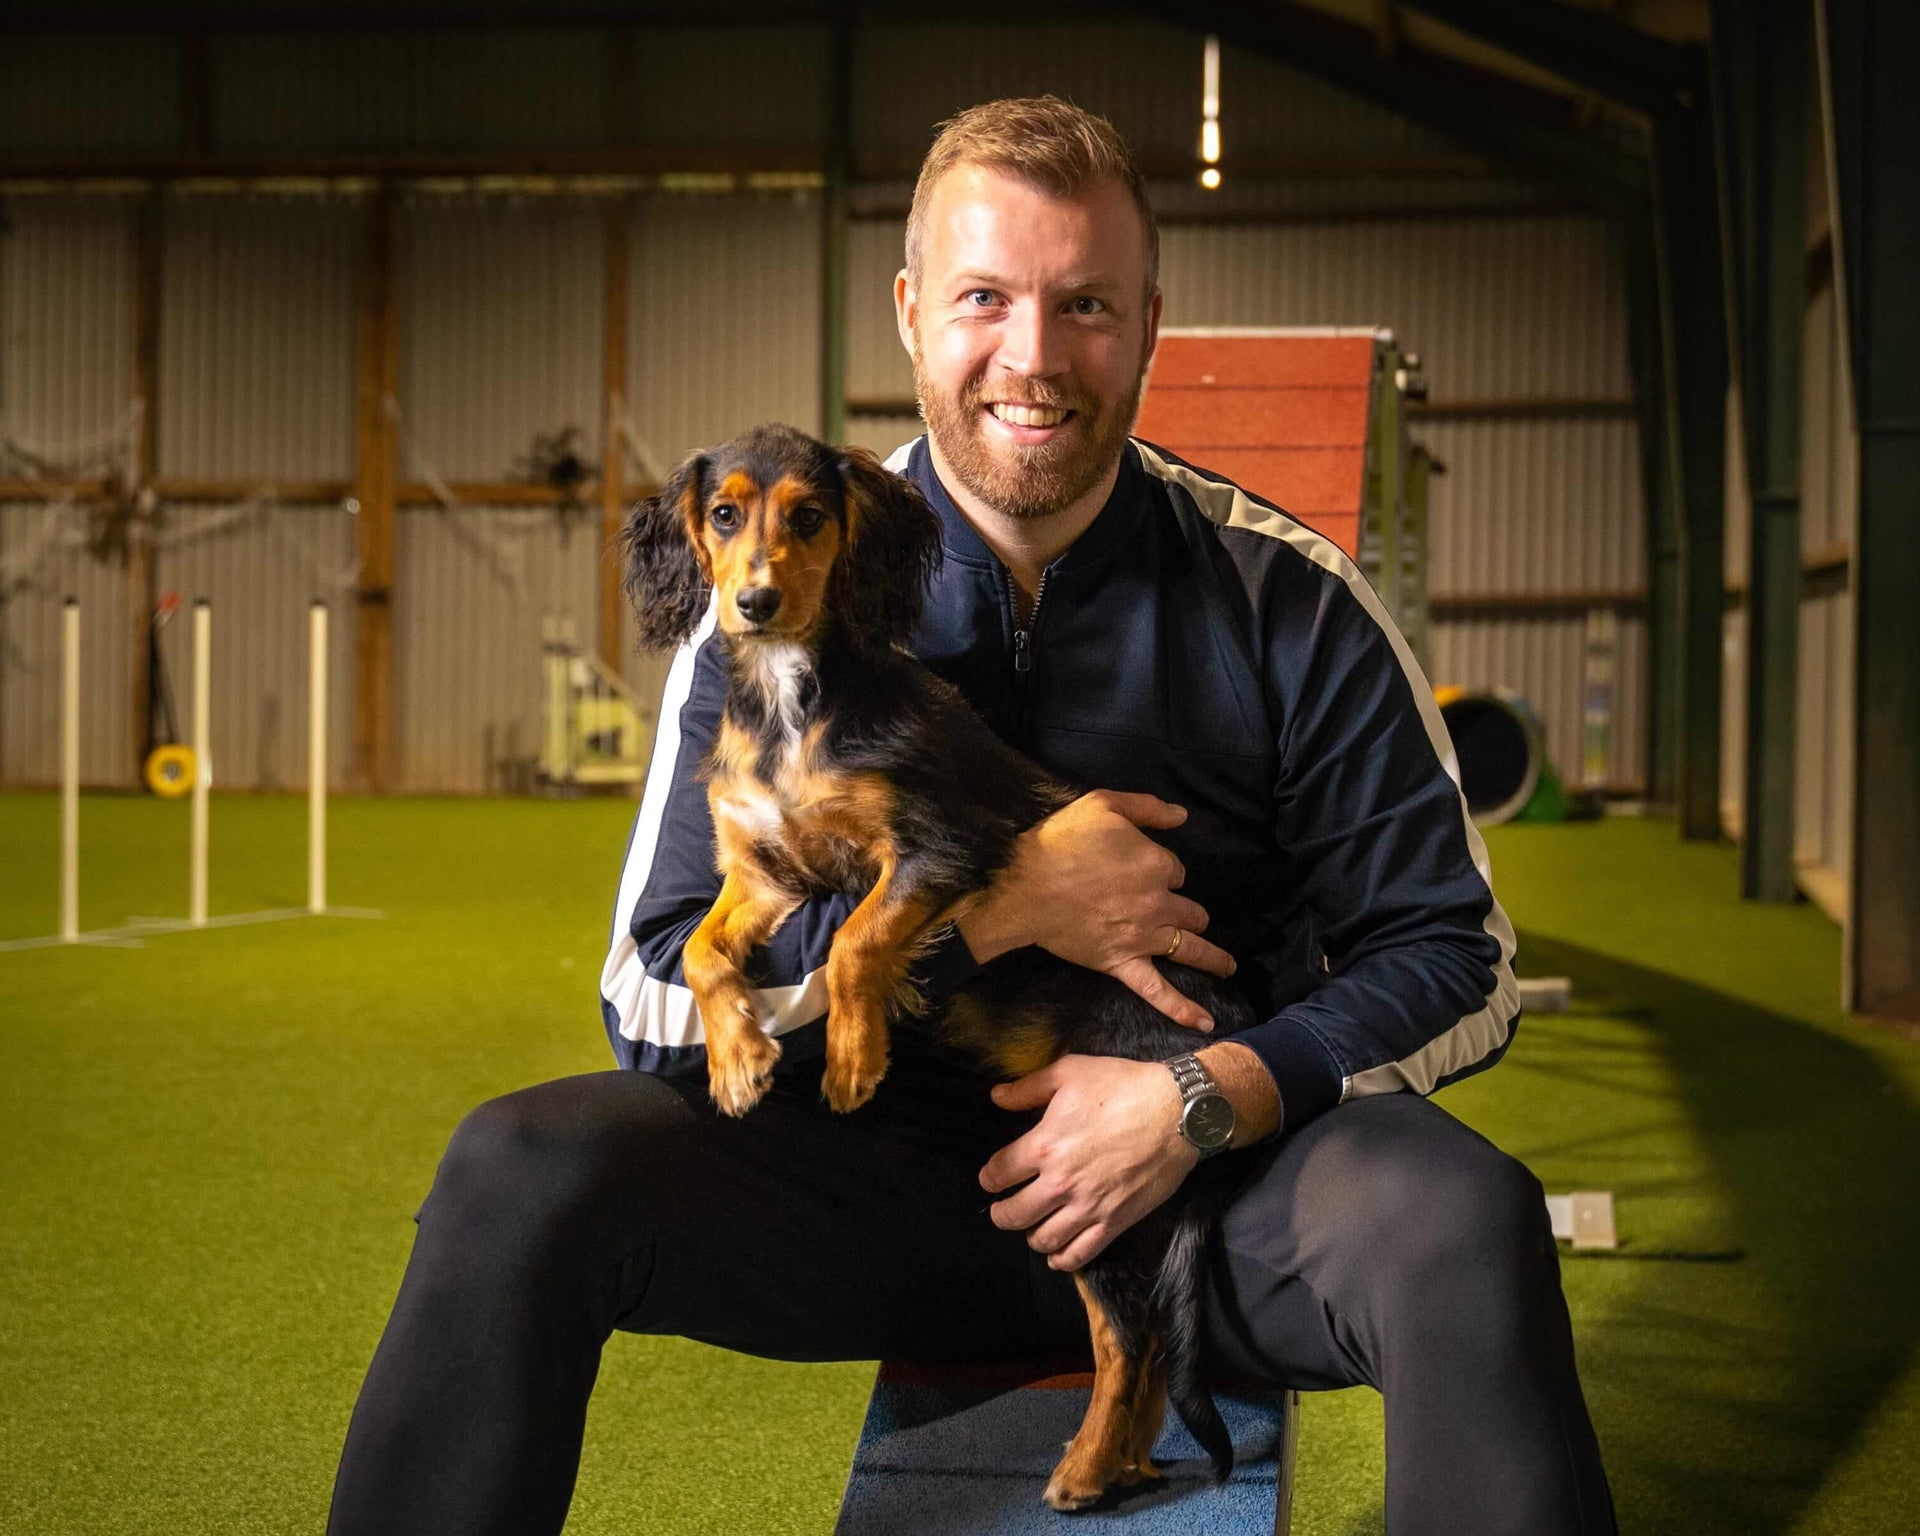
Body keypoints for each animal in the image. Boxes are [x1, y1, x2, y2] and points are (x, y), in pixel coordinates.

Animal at [622, 422, 1251, 1512]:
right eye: (724, 514)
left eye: (810, 517)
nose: (754, 603)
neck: (793, 696)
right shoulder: (760, 869)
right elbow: (698, 951)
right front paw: (739, 1062)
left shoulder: (940, 845)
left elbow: (856, 939)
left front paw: (851, 1058)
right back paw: (1118, 1464)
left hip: (1099, 1156)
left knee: (1129, 1334)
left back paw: (1085, 1469)